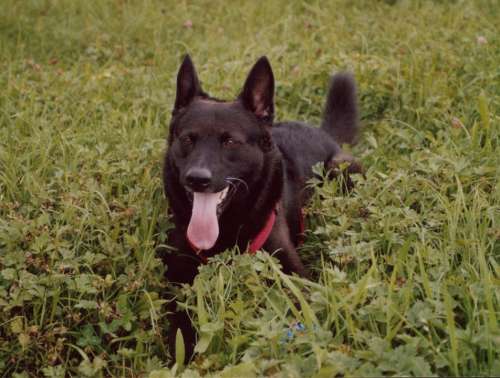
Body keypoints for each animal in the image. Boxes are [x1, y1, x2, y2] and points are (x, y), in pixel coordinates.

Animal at [162, 55, 362, 360]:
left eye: (230, 141)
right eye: (187, 139)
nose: (197, 178)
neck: (227, 231)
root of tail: (323, 133)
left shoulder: (293, 272)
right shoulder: (177, 280)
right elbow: (180, 329)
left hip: (342, 167)